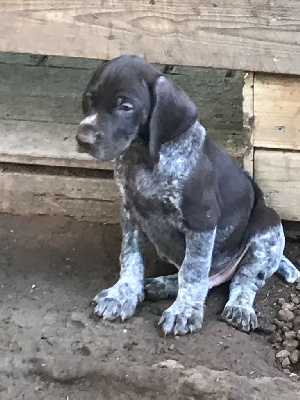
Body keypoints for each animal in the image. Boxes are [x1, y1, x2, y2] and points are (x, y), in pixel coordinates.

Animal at [75, 55, 300, 334]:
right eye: (89, 100)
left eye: (125, 107)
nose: (82, 139)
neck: (144, 158)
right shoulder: (130, 212)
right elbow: (130, 256)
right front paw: (123, 294)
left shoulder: (201, 220)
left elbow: (194, 271)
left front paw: (184, 311)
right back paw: (162, 284)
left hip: (266, 233)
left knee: (243, 280)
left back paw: (239, 307)